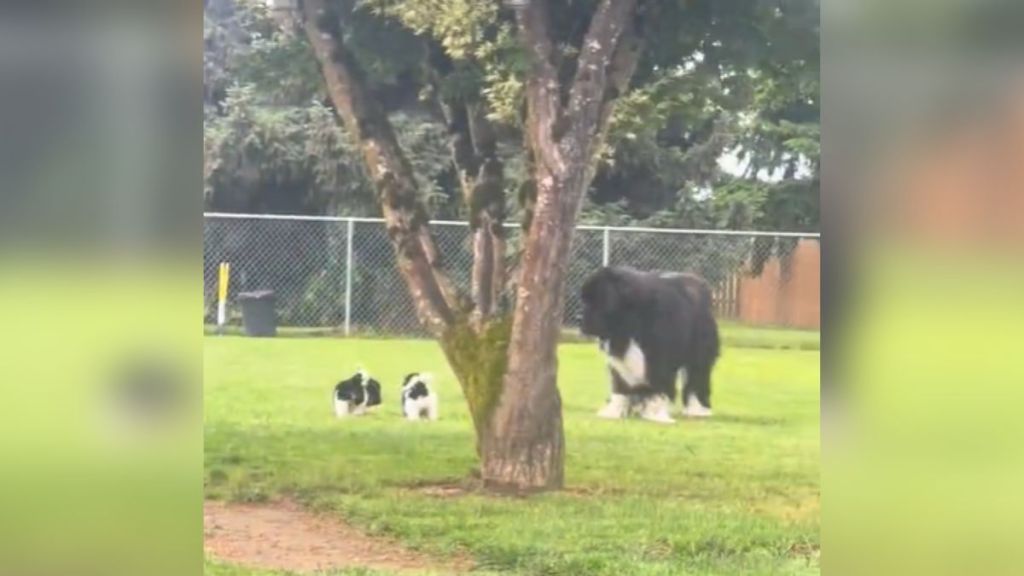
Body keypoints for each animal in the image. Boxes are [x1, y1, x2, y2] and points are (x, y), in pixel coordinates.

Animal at [585, 266, 720, 422]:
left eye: (596, 302)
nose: (579, 317)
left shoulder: (658, 359)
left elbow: (658, 385)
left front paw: (656, 414)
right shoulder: (620, 359)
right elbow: (620, 386)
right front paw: (614, 412)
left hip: (698, 355)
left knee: (696, 378)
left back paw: (698, 410)